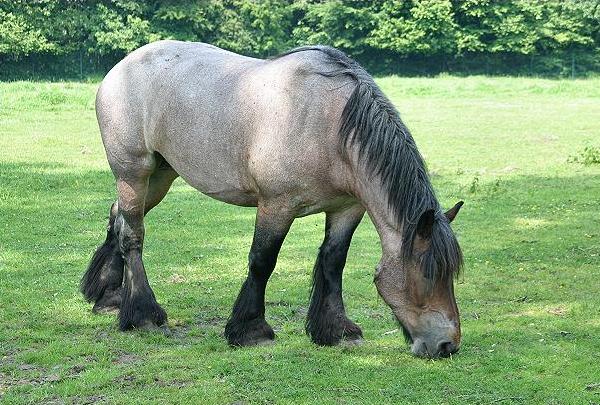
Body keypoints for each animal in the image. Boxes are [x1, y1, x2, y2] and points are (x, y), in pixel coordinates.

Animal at [81, 40, 464, 356]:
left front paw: (336, 331)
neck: (329, 124)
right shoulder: (276, 206)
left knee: (118, 218)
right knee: (133, 235)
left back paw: (109, 297)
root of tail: (121, 67)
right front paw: (251, 330)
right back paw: (143, 314)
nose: (447, 345)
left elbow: (333, 262)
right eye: (427, 275)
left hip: (160, 176)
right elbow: (262, 261)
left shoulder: (347, 208)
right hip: (133, 173)